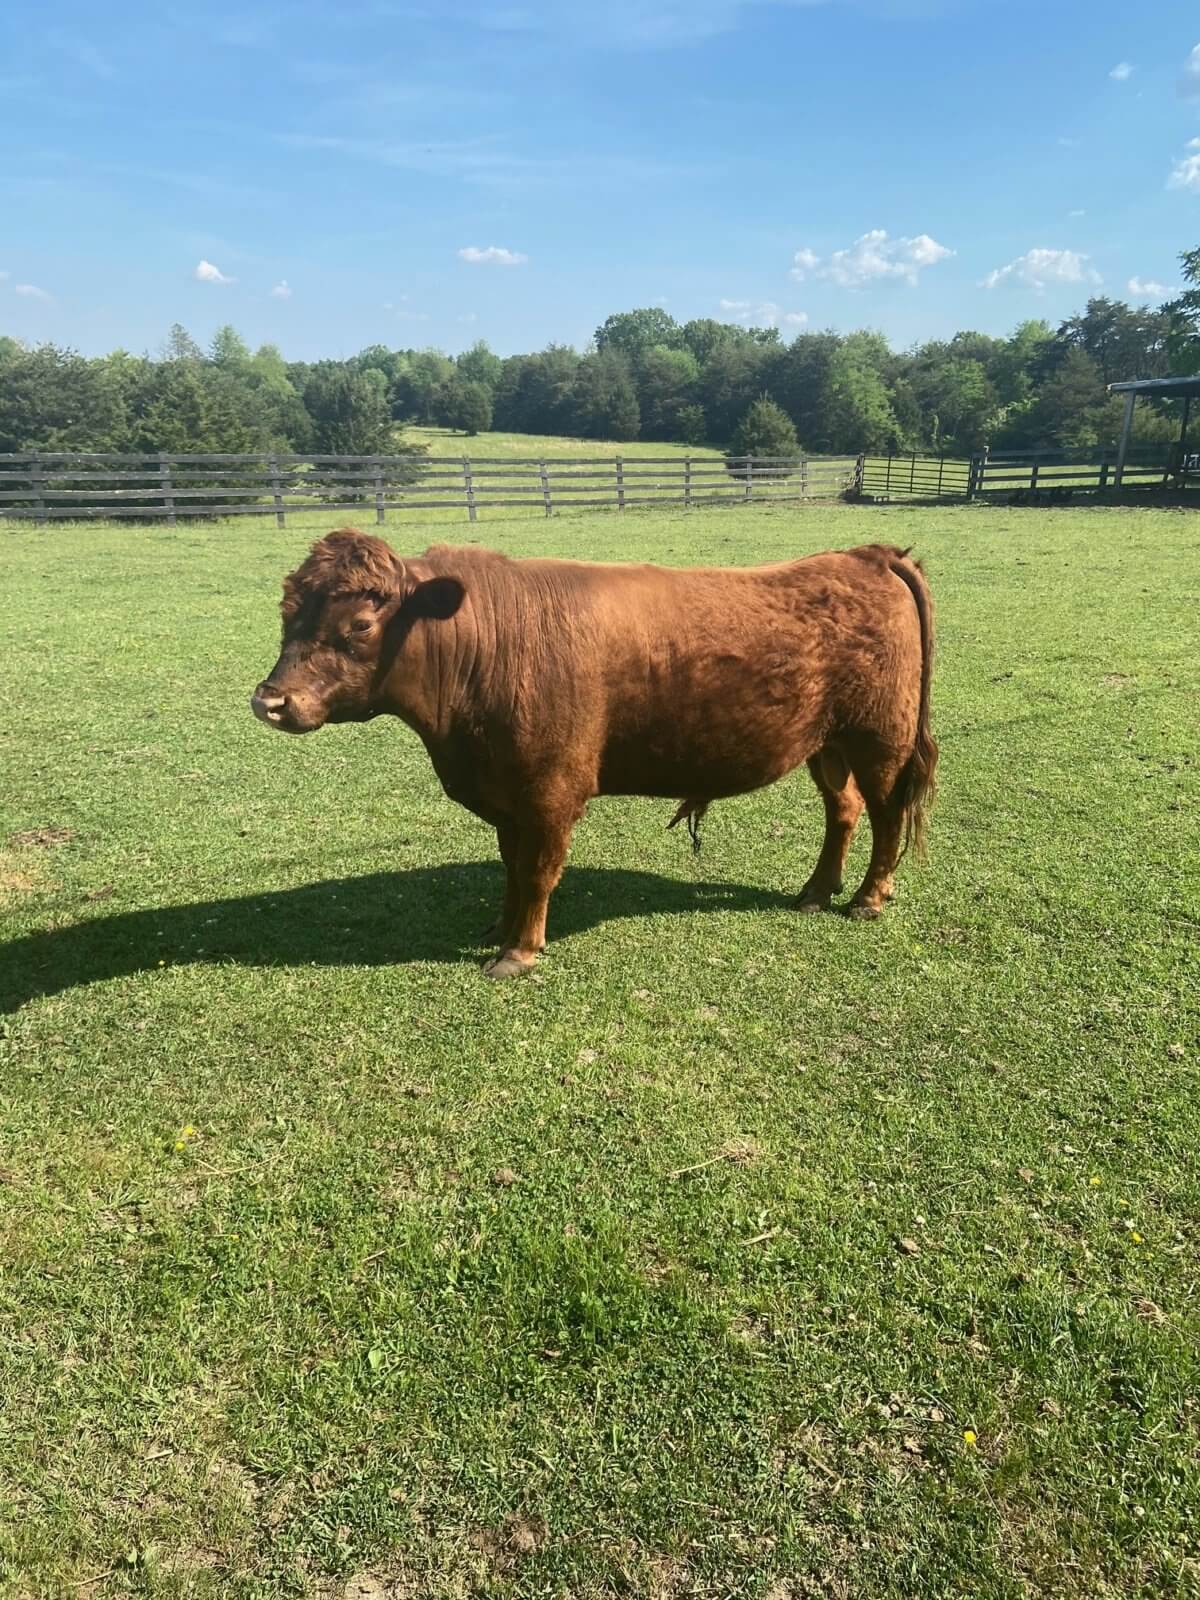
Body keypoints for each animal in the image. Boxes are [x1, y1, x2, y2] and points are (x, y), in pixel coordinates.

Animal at [251, 529, 937, 978]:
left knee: (886, 815)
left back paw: (868, 899)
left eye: (361, 626)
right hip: (829, 744)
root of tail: (867, 556)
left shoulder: (551, 792)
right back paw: (816, 891)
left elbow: (537, 870)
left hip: (882, 739)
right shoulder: (507, 796)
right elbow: (511, 867)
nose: (270, 700)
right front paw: (501, 928)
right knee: (843, 810)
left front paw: (519, 953)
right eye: (286, 614)